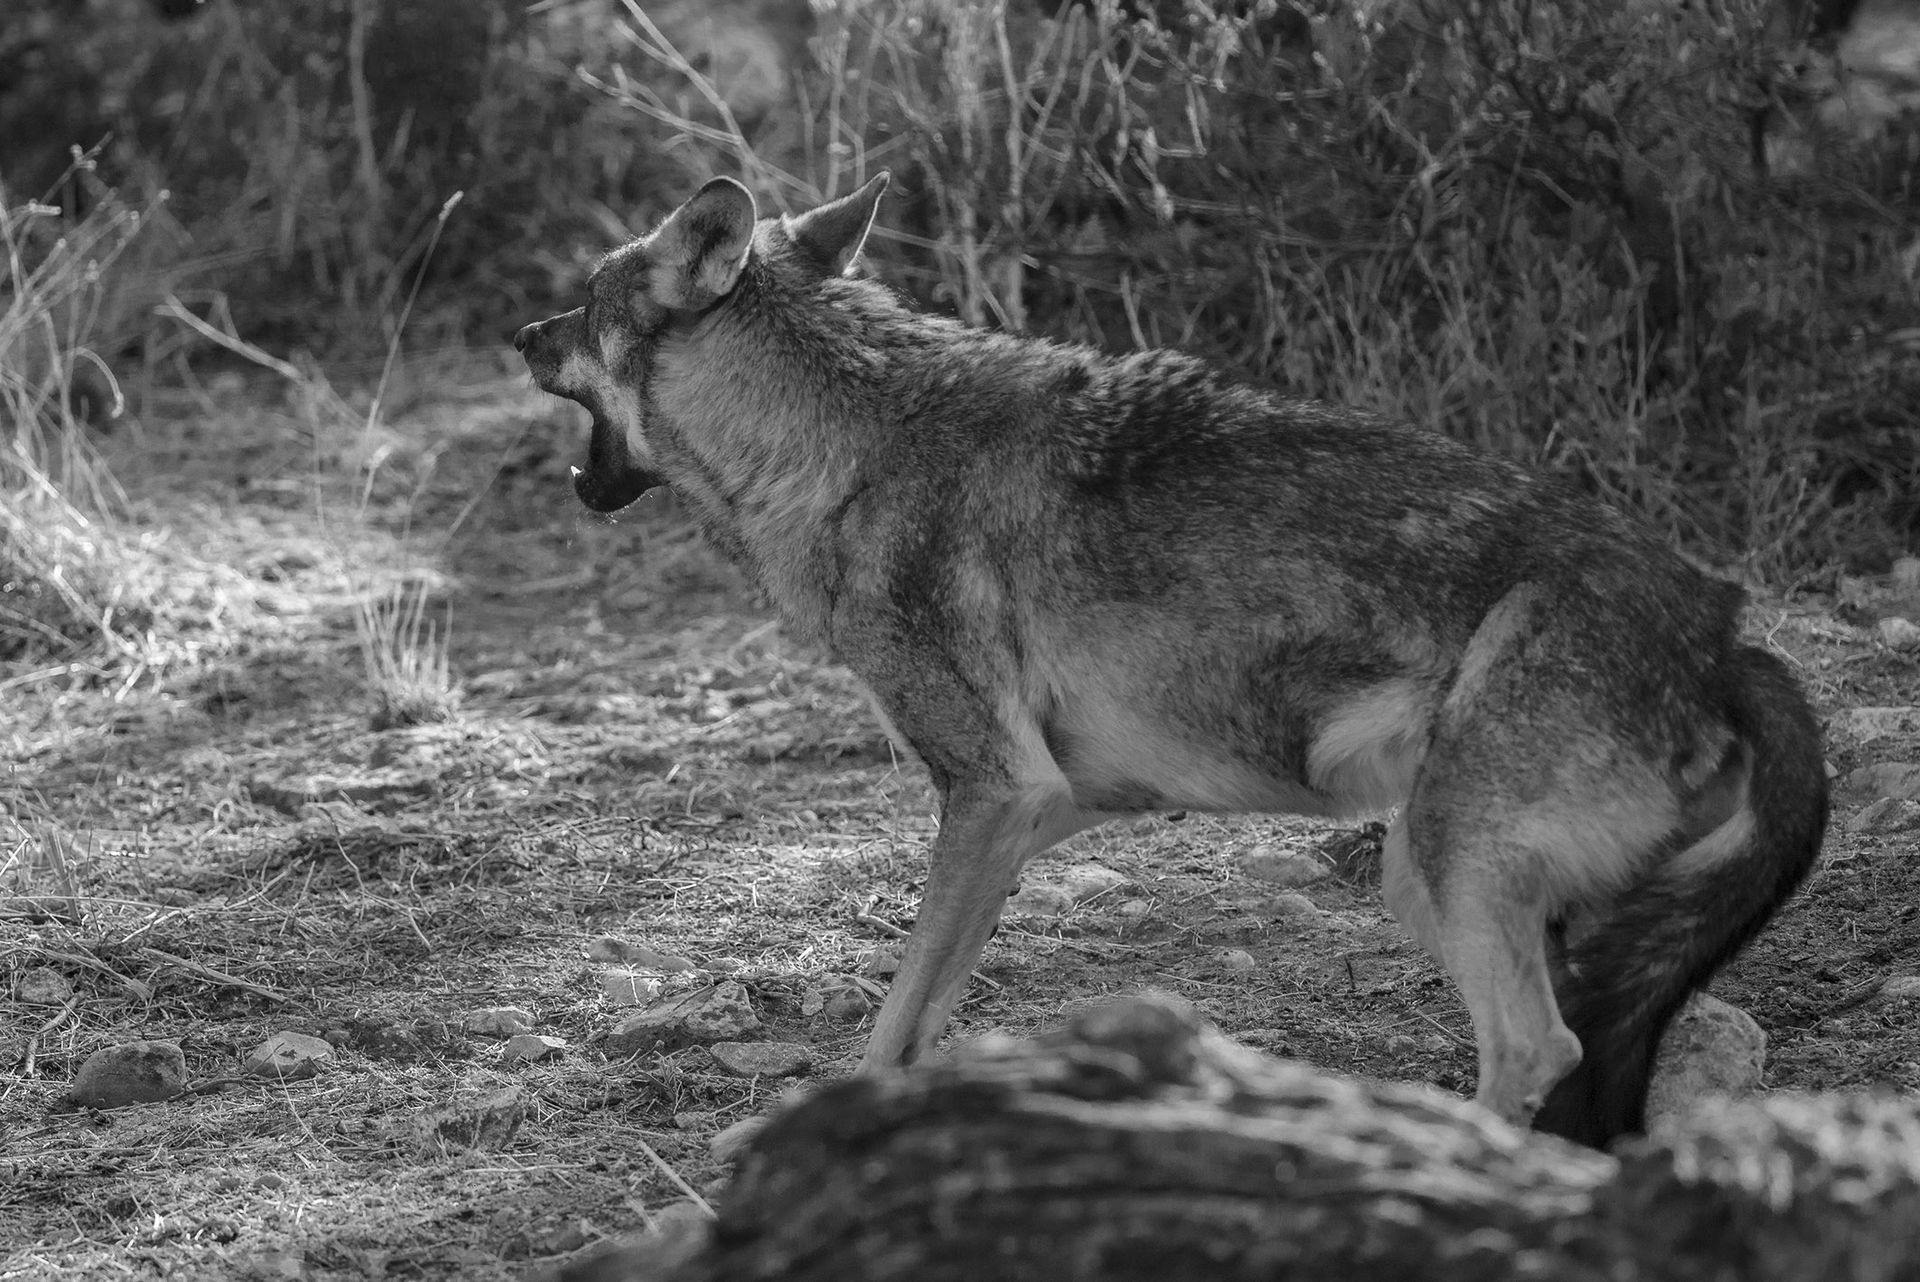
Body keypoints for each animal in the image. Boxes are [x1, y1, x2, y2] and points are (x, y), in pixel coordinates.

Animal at [514, 173, 1827, 1147]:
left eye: (581, 303)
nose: (515, 331)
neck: (842, 445)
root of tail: (1729, 634)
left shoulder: (995, 791)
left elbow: (895, 1011)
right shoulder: (1046, 807)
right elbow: (930, 1004)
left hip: (1437, 866)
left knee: (1537, 1048)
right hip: (1487, 892)